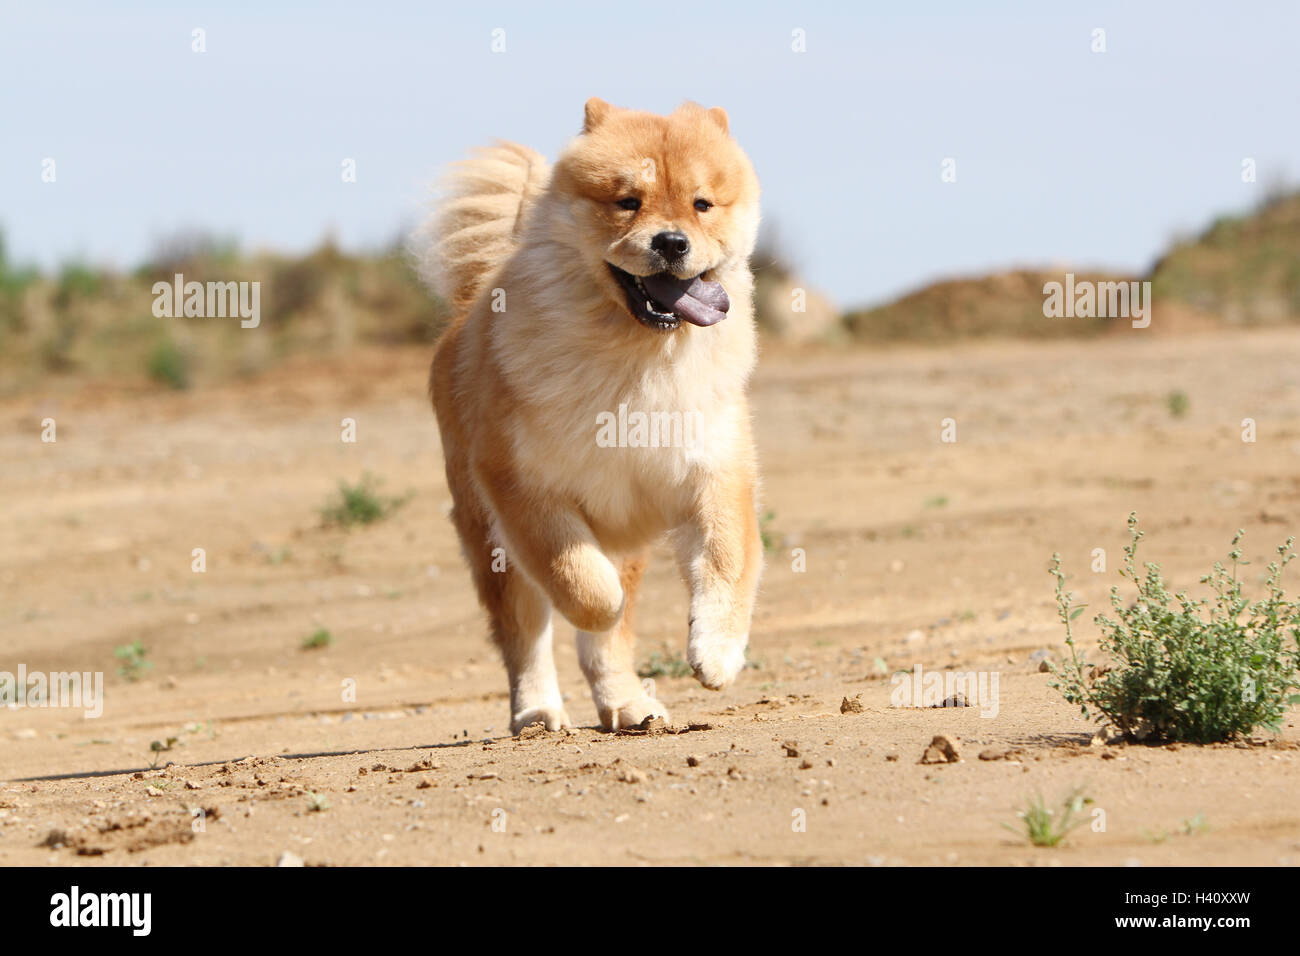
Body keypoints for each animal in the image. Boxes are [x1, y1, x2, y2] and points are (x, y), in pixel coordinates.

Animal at [416, 98, 759, 733]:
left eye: (702, 204)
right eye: (628, 202)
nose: (672, 242)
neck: (635, 358)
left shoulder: (713, 471)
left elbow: (727, 559)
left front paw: (717, 655)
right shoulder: (524, 485)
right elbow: (582, 584)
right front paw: (601, 606)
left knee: (606, 647)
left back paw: (629, 706)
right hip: (491, 535)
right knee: (526, 632)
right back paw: (537, 714)